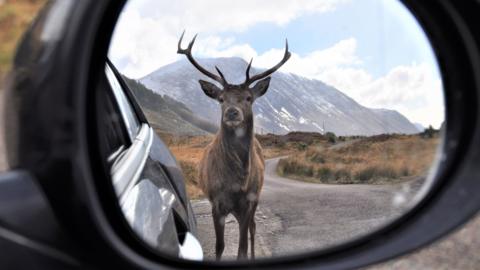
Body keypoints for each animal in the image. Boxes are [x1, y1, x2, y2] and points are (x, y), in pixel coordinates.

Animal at [176, 31, 288, 260]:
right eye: (221, 98)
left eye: (248, 98)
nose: (232, 112)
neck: (236, 182)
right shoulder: (217, 203)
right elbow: (220, 246)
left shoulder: (248, 202)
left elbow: (242, 248)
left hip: (255, 200)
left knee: (253, 228)